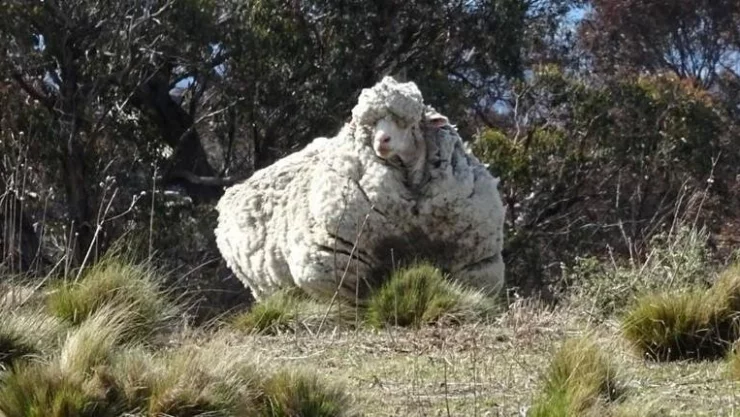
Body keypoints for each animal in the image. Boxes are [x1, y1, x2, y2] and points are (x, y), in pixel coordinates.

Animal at [215, 76, 505, 302]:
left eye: (408, 122)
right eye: (370, 125)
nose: (382, 141)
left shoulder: (475, 265)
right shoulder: (335, 267)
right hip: (266, 287)